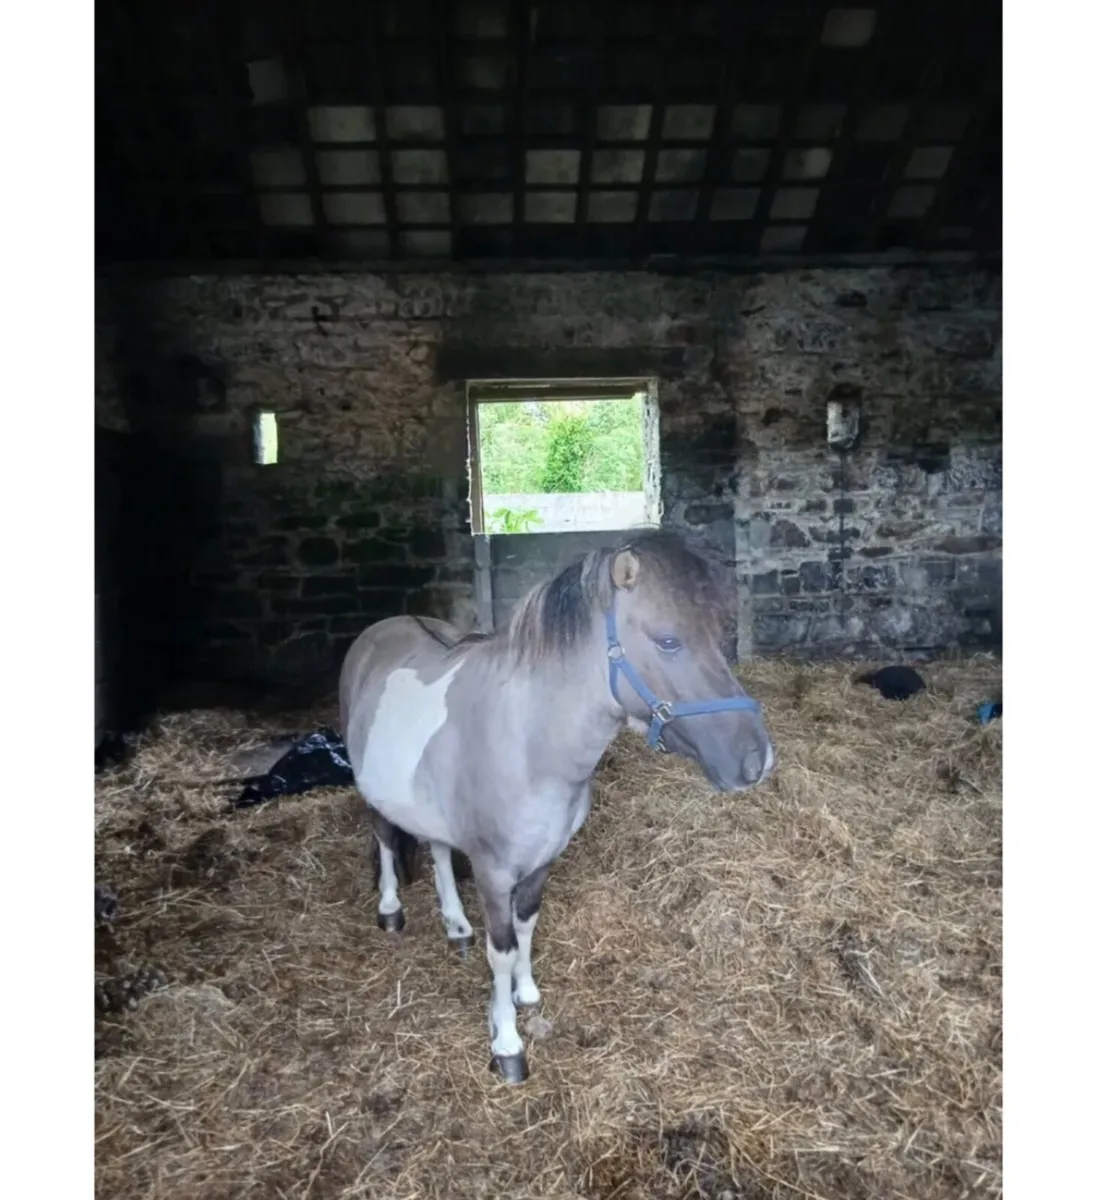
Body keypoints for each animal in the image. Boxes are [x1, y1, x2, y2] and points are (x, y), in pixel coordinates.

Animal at [338, 530, 775, 1083]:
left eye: (718, 636)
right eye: (669, 641)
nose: (756, 760)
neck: (528, 742)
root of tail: (382, 629)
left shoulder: (543, 861)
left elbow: (527, 925)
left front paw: (526, 993)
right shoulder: (493, 872)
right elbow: (501, 950)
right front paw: (506, 1043)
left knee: (436, 849)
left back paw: (456, 926)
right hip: (369, 788)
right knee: (383, 838)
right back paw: (391, 910)